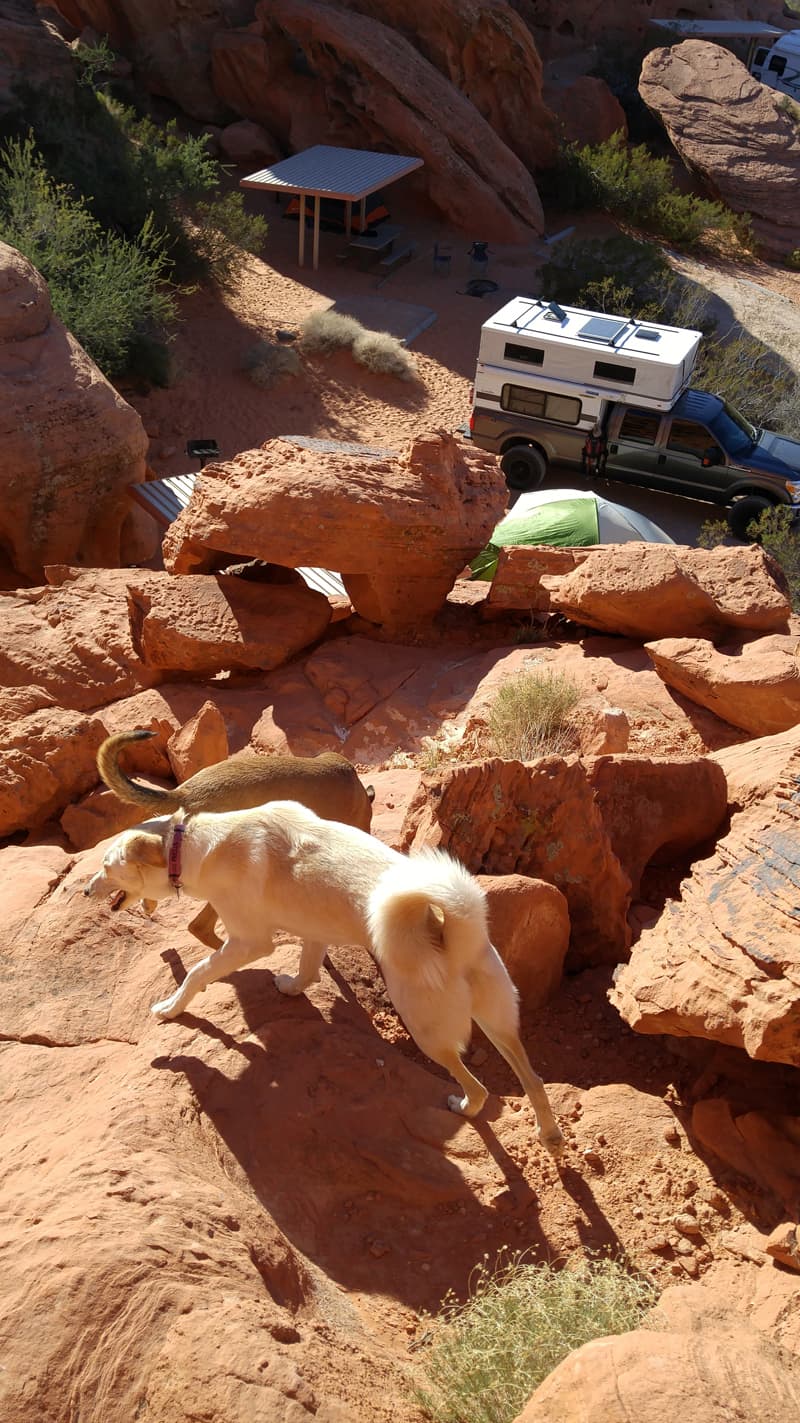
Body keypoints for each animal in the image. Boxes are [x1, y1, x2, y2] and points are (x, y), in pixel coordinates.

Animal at [83, 802, 560, 1155]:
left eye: (106, 866)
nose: (86, 891)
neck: (192, 844)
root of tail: (454, 931)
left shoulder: (249, 942)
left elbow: (198, 973)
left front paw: (170, 1007)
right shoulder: (310, 931)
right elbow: (309, 968)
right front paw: (291, 988)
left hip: (427, 1030)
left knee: (479, 1090)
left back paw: (462, 1107)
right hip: (497, 1020)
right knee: (532, 1078)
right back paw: (549, 1134)